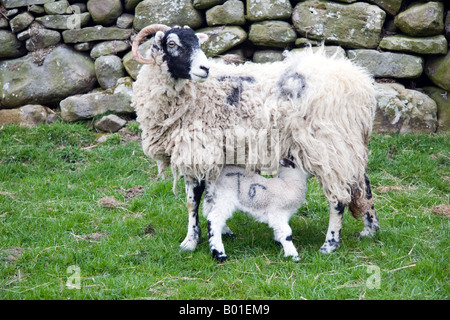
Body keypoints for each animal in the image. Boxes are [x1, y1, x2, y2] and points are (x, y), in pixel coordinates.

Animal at [131, 24, 380, 255]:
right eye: (171, 44)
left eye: (198, 43)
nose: (204, 68)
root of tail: (361, 84)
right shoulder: (213, 153)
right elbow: (210, 196)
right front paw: (221, 230)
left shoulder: (196, 150)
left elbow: (193, 200)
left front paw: (190, 241)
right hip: (346, 144)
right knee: (362, 184)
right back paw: (370, 229)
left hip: (327, 144)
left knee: (338, 198)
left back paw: (330, 244)